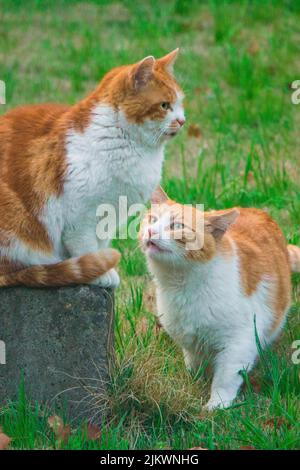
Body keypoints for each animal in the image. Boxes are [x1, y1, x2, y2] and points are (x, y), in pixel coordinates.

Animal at [0, 50, 184, 286]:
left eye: (180, 104)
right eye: (164, 105)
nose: (182, 121)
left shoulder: (109, 215)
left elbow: (100, 244)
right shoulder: (79, 216)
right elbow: (85, 246)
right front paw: (99, 273)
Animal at [140, 187, 300, 408]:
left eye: (177, 226)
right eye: (152, 220)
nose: (151, 231)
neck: (180, 285)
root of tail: (258, 212)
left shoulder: (239, 342)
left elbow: (225, 377)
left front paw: (216, 405)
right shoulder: (190, 342)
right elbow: (193, 365)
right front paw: (195, 381)